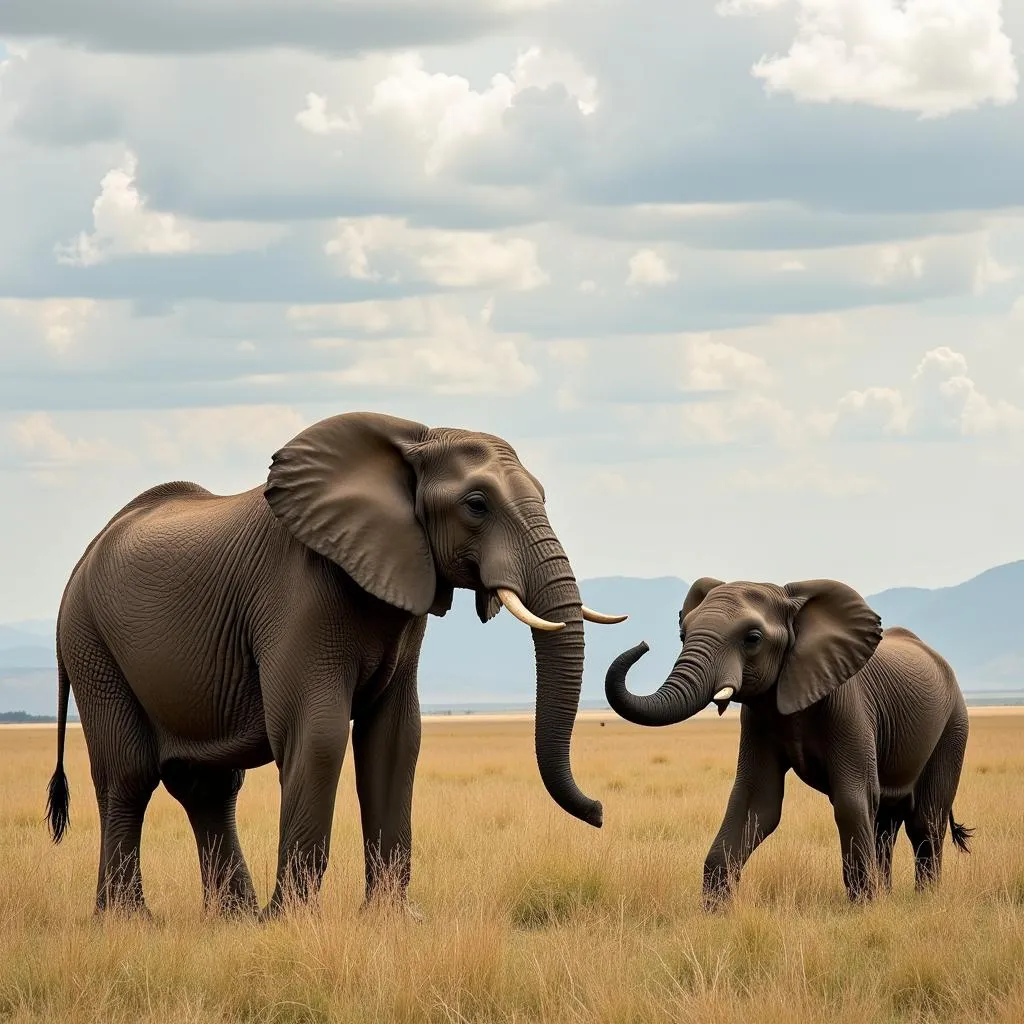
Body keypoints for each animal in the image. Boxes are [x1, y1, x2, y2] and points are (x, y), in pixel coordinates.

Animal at [44, 411, 622, 925]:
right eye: (476, 505)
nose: (599, 813)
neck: (410, 443)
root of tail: (81, 560)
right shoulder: (296, 593)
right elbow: (318, 735)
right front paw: (290, 923)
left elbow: (396, 738)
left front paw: (391, 920)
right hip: (91, 643)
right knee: (129, 775)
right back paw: (130, 921)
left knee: (206, 785)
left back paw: (233, 920)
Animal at [602, 581, 970, 909]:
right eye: (682, 635)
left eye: (752, 639)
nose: (642, 644)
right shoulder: (757, 718)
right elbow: (756, 802)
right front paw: (715, 913)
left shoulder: (849, 706)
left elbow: (852, 799)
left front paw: (865, 909)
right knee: (885, 824)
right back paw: (890, 896)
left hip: (953, 726)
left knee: (924, 821)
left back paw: (924, 901)